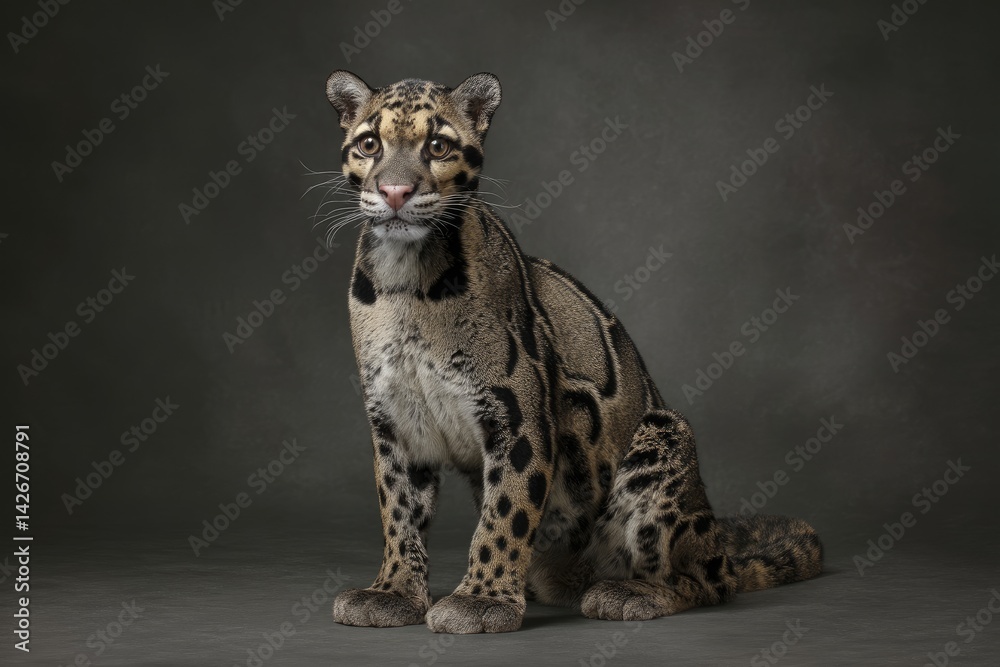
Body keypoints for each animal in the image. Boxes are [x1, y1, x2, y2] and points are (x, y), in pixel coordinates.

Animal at [324, 70, 823, 634]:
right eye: (370, 144)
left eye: (437, 146)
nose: (394, 191)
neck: (405, 278)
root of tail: (720, 546)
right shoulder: (395, 422)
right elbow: (399, 511)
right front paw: (392, 591)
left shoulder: (519, 415)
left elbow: (504, 512)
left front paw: (483, 599)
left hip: (665, 434)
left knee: (704, 582)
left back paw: (632, 592)